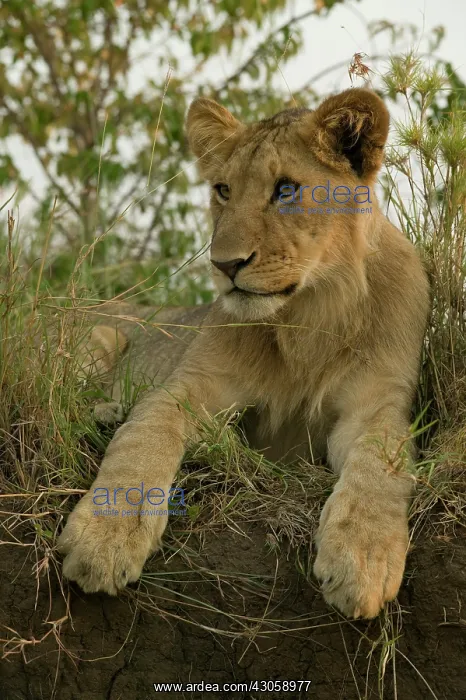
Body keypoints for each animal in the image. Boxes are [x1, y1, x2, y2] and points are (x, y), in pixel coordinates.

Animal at [58, 88, 430, 619]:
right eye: (223, 191)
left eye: (286, 190)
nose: (224, 264)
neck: (307, 315)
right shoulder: (191, 385)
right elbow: (143, 437)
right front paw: (105, 534)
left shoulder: (378, 404)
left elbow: (382, 467)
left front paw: (363, 555)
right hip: (98, 336)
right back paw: (109, 409)